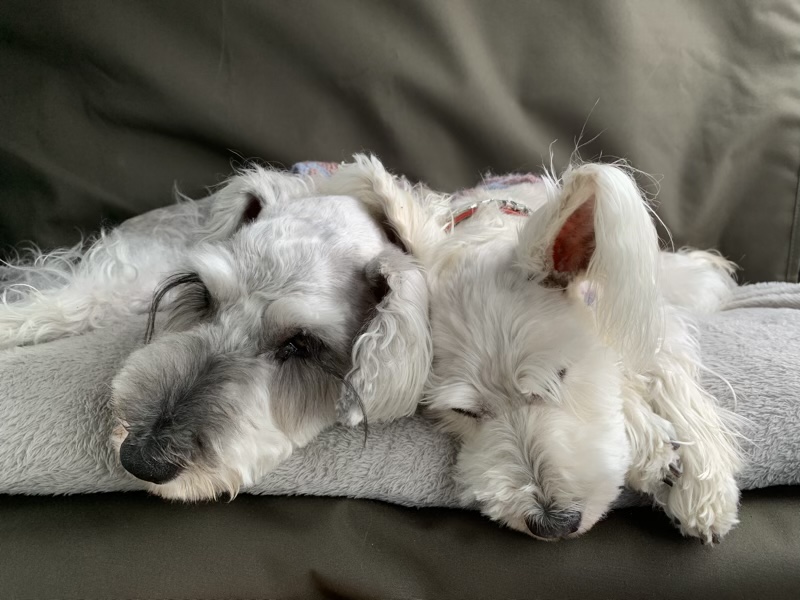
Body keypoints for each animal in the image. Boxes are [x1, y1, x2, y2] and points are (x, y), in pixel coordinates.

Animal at [324, 155, 743, 545]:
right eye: (462, 411)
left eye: (559, 375)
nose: (553, 525)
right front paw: (652, 445)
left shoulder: (644, 317)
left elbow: (663, 373)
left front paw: (704, 490)